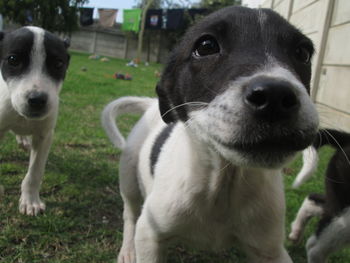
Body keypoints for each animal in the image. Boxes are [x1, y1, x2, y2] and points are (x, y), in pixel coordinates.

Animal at [0, 26, 70, 217]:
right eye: (13, 60)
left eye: (58, 64)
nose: (37, 100)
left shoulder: (44, 136)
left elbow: (35, 172)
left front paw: (30, 201)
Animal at [102, 6, 320, 263]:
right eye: (206, 46)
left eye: (302, 52)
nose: (276, 97)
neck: (223, 184)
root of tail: (149, 105)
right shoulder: (150, 234)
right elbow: (141, 228)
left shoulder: (271, 250)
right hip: (128, 176)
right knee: (130, 213)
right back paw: (127, 249)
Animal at [288, 130, 350, 263]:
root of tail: (347, 140)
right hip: (344, 213)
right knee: (314, 248)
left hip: (336, 199)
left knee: (313, 200)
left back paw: (296, 231)